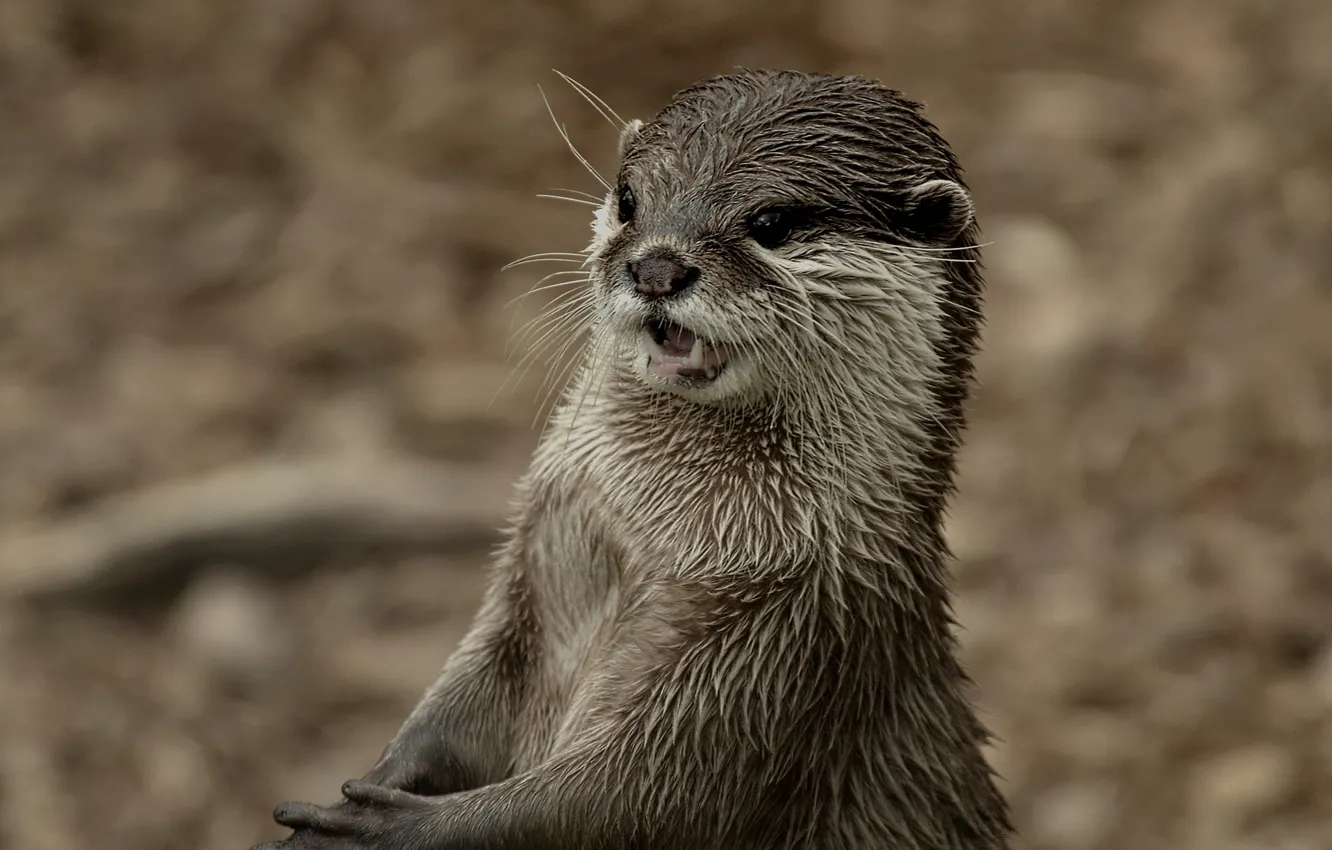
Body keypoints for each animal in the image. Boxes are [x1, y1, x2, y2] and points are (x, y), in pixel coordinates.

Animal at [255, 69, 1012, 850]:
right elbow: (458, 707)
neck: (649, 533)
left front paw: (389, 828)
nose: (657, 268)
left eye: (772, 222)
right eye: (629, 201)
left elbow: (622, 800)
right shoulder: (527, 577)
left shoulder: (795, 643)